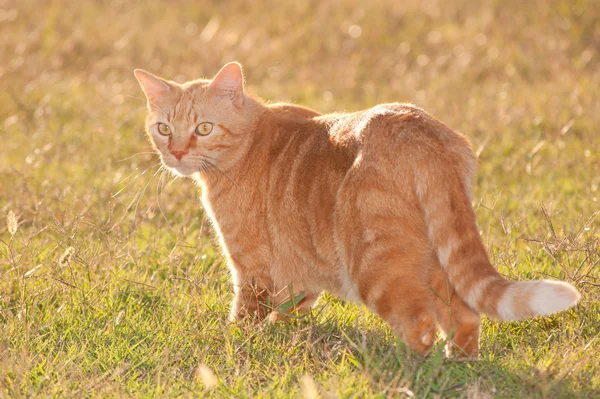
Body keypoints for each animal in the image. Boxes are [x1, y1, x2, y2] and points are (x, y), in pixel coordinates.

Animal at [135, 62, 580, 360]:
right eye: (163, 128)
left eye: (203, 128)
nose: (176, 152)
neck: (246, 144)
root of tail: (416, 126)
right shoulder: (299, 270)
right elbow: (289, 307)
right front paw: (279, 334)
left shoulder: (254, 269)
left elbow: (245, 315)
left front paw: (237, 343)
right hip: (436, 256)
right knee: (464, 316)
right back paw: (460, 365)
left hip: (375, 267)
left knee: (419, 326)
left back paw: (409, 369)